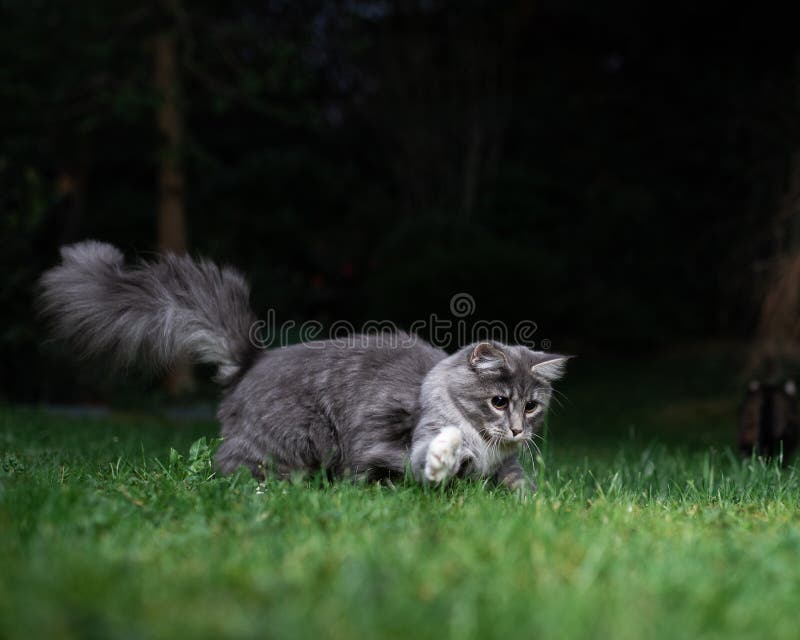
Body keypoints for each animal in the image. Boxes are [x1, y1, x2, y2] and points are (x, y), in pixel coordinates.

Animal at [39, 240, 568, 490]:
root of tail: (253, 361)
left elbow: (521, 488)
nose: (518, 429)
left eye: (532, 406)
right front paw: (446, 460)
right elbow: (433, 461)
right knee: (230, 466)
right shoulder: (398, 442)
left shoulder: (508, 468)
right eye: (499, 401)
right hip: (294, 438)